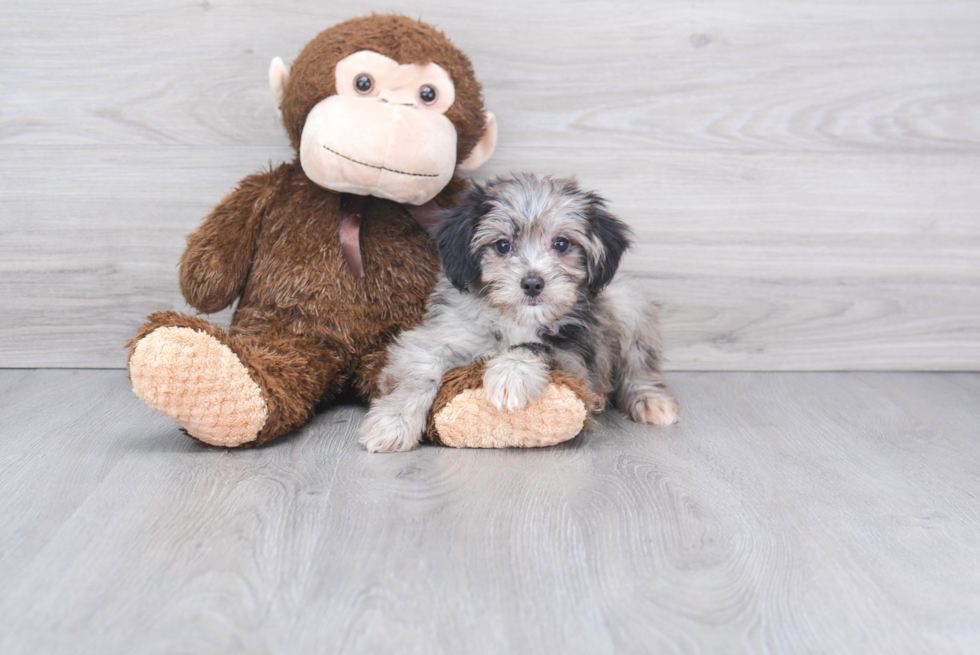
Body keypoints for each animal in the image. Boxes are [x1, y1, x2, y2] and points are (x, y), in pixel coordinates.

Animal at [360, 172, 680, 454]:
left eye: (562, 243)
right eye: (503, 245)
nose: (533, 283)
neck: (515, 318)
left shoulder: (576, 358)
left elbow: (534, 345)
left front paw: (510, 373)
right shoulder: (439, 336)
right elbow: (419, 372)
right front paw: (393, 423)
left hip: (629, 305)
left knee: (641, 366)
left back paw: (652, 402)